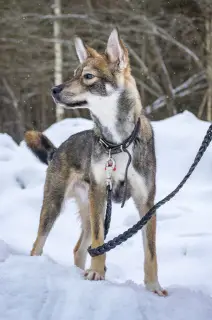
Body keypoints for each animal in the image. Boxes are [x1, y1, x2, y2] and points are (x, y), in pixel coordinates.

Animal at [25, 28, 167, 296]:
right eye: (74, 74)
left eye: (88, 76)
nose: (54, 90)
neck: (119, 143)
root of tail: (58, 149)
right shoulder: (100, 192)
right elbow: (100, 242)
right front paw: (97, 273)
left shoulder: (147, 203)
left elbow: (151, 252)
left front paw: (154, 287)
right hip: (58, 205)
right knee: (38, 244)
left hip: (88, 209)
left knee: (78, 249)